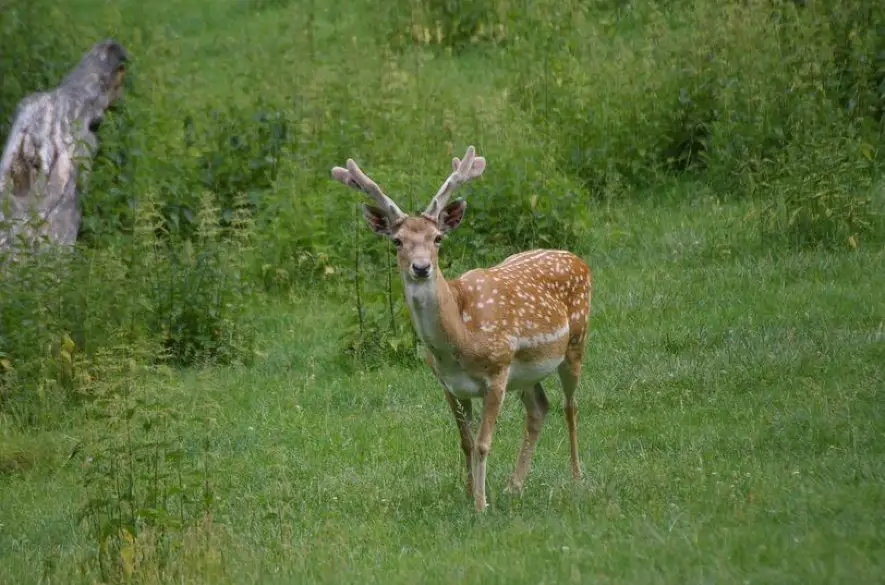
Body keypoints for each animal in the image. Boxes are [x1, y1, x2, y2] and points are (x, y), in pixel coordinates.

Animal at [332, 144, 592, 508]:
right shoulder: (449, 385)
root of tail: (577, 258)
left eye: (438, 237)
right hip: (526, 371)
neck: (460, 342)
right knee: (540, 407)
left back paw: (577, 477)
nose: (421, 267)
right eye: (396, 240)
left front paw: (481, 504)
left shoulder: (497, 371)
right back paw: (514, 485)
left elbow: (483, 443)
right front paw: (469, 494)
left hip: (576, 339)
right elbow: (466, 442)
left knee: (571, 405)